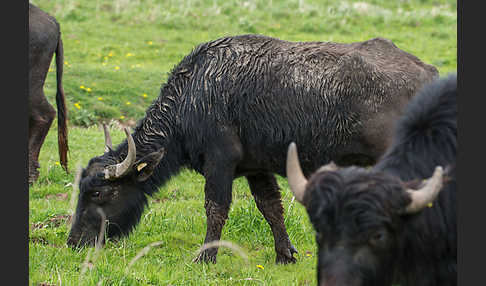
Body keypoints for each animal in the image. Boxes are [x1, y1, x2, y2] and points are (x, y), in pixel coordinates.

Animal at [67, 33, 436, 264]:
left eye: (99, 193)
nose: (74, 242)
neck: (196, 96)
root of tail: (427, 74)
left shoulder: (220, 162)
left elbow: (215, 207)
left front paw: (206, 256)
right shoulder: (257, 169)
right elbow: (271, 208)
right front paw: (285, 254)